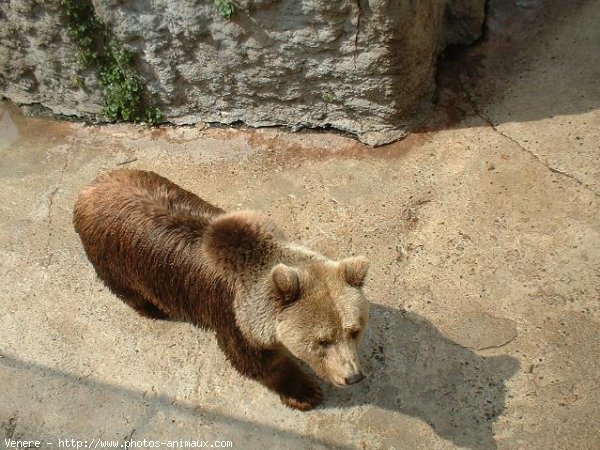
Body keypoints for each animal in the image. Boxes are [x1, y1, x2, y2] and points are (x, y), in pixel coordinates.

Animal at [72, 170, 368, 412]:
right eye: (322, 341)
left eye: (354, 330)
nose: (353, 377)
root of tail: (89, 187)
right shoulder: (232, 317)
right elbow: (259, 362)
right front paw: (305, 393)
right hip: (114, 257)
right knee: (129, 290)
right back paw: (153, 310)